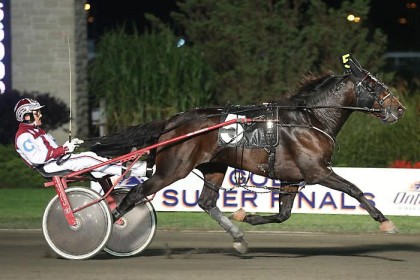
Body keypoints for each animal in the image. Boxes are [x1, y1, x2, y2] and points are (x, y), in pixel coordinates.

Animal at [84, 54, 404, 254]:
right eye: (373, 85)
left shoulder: (291, 178)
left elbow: (283, 215)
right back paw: (107, 230)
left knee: (206, 202)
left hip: (214, 167)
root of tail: (174, 121)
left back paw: (238, 237)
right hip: (171, 170)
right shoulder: (318, 171)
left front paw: (245, 215)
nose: (399, 108)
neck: (310, 120)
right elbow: (355, 189)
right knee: (133, 195)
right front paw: (386, 222)